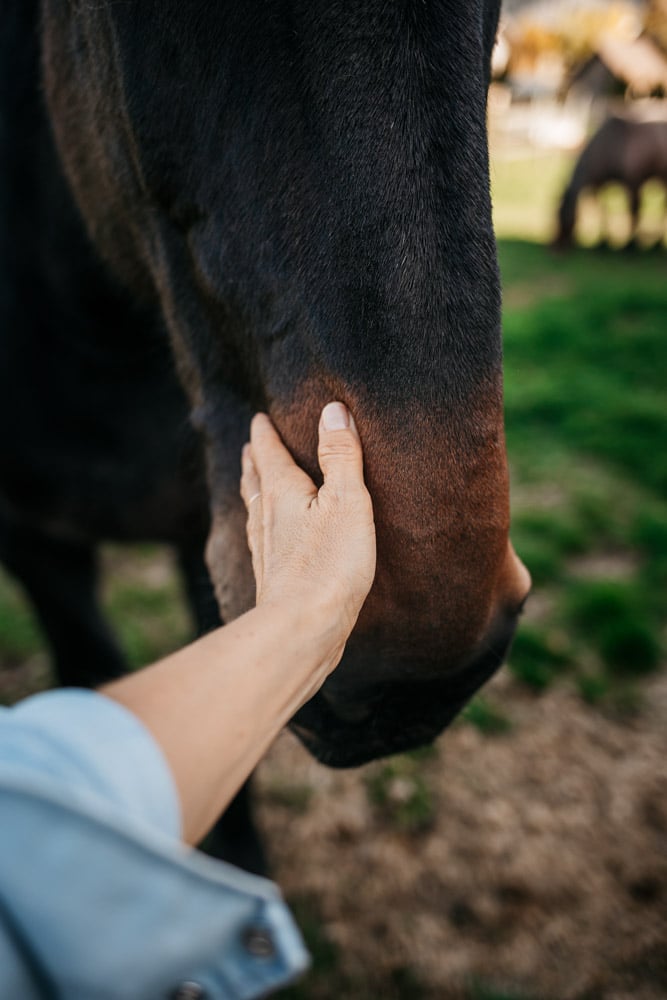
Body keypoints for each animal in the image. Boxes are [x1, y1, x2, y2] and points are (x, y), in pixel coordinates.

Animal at [556, 116, 667, 249]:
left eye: (565, 216)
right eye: (556, 216)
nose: (555, 247)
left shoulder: (632, 182)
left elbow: (633, 212)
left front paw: (631, 244)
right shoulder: (599, 185)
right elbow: (601, 209)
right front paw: (603, 241)